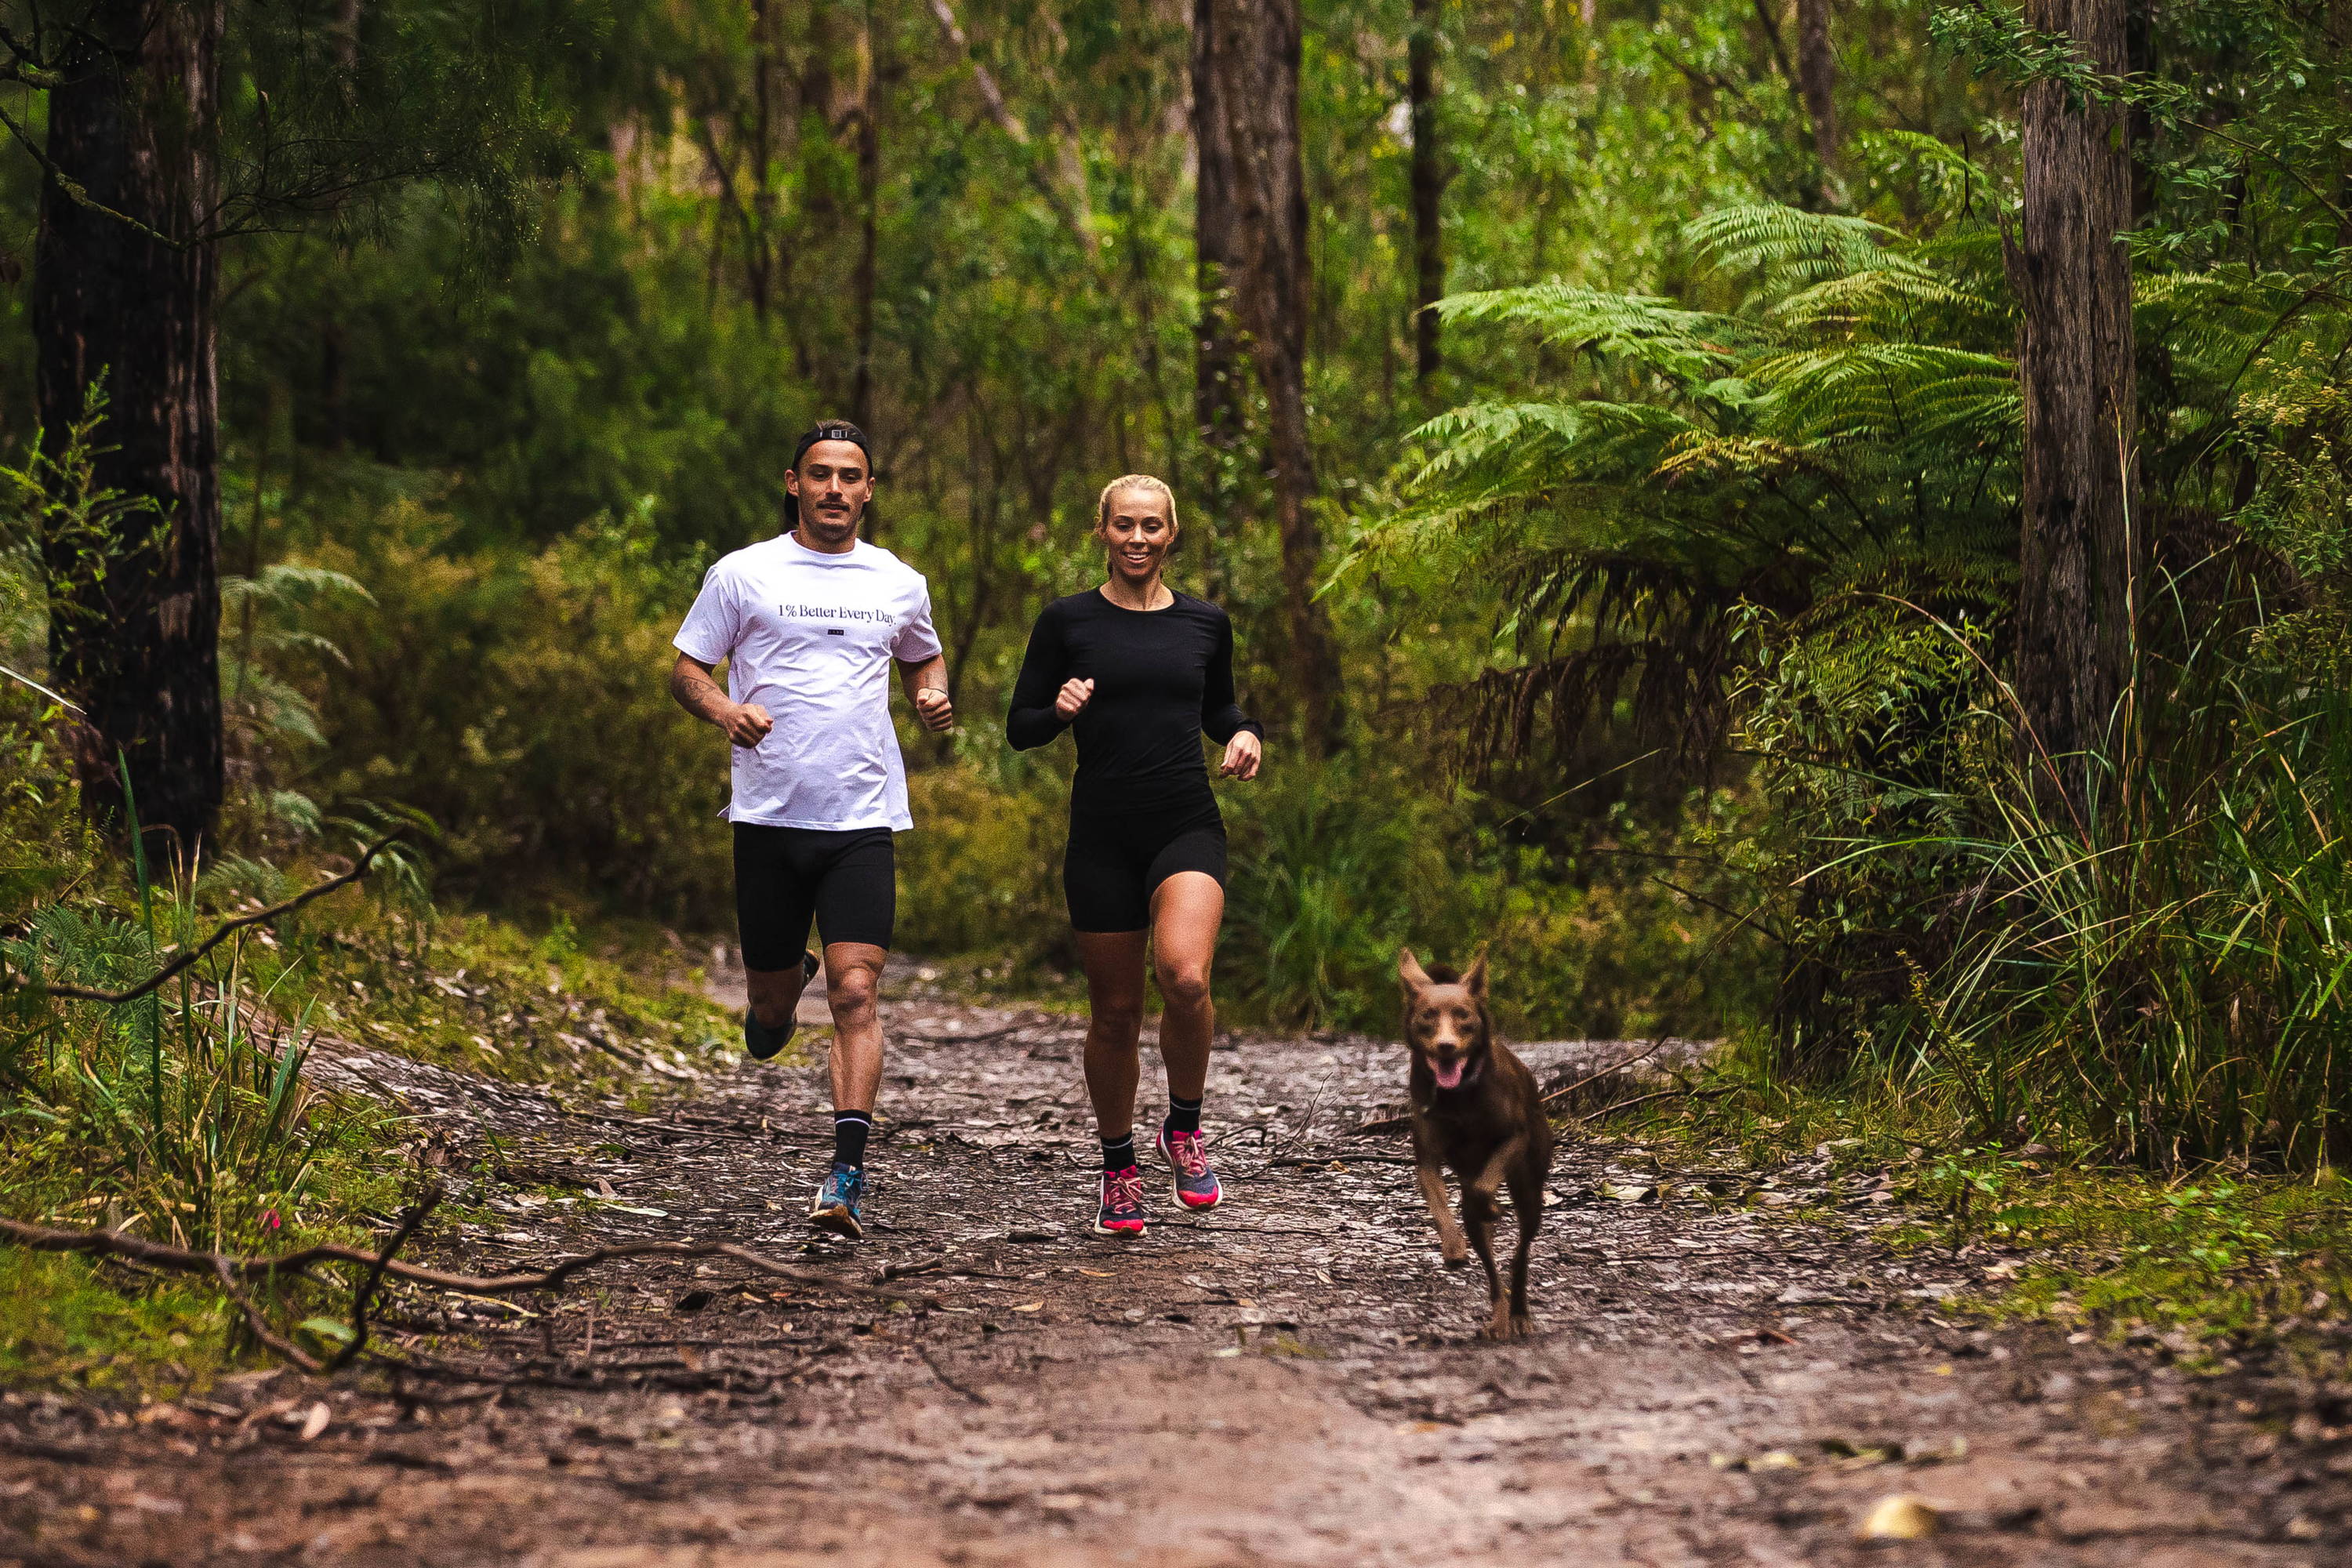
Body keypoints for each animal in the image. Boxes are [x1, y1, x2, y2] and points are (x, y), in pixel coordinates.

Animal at [1402, 949, 1552, 1345]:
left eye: (1463, 1016)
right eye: (1428, 1016)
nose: (1446, 1046)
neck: (1459, 1098)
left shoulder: (1514, 1139)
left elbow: (1484, 1187)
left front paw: (1491, 1204)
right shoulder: (1428, 1160)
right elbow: (1441, 1205)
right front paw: (1453, 1247)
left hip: (1531, 1190)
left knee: (1519, 1256)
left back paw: (1519, 1314)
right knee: (1492, 1270)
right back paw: (1499, 1319)